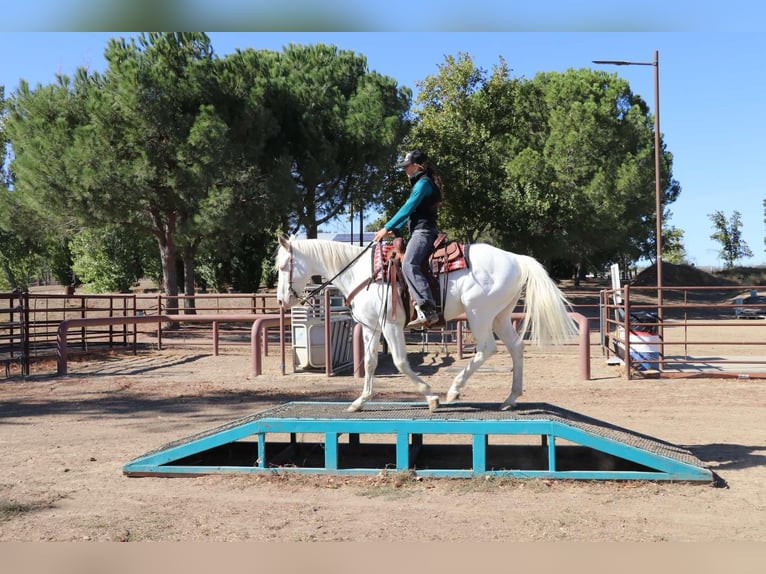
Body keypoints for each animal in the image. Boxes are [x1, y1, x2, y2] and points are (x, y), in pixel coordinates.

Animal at [275, 235, 578, 412]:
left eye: (282, 266)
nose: (281, 301)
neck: (362, 273)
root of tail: (516, 258)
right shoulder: (372, 328)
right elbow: (371, 363)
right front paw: (360, 401)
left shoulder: (390, 326)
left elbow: (399, 362)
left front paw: (430, 397)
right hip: (500, 315)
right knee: (515, 347)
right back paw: (510, 398)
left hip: (479, 313)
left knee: (487, 349)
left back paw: (454, 390)